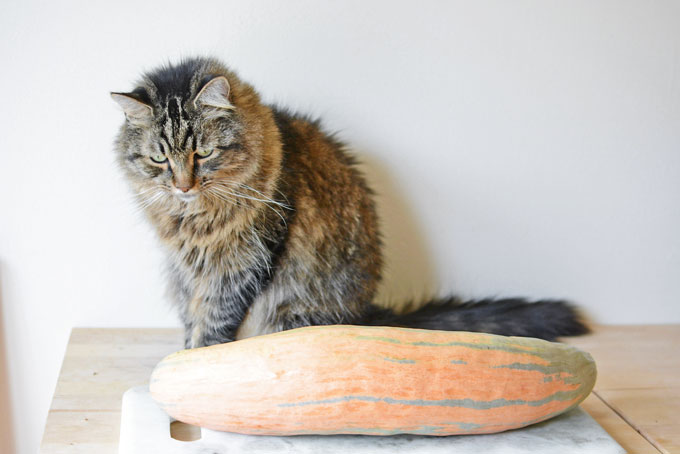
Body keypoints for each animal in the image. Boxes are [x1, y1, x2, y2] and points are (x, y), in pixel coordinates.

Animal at [110, 56, 584, 348]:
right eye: (159, 158)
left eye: (204, 153)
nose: (183, 186)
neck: (192, 218)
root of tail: (364, 312)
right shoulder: (187, 270)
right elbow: (192, 317)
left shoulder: (242, 264)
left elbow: (213, 322)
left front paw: (195, 363)